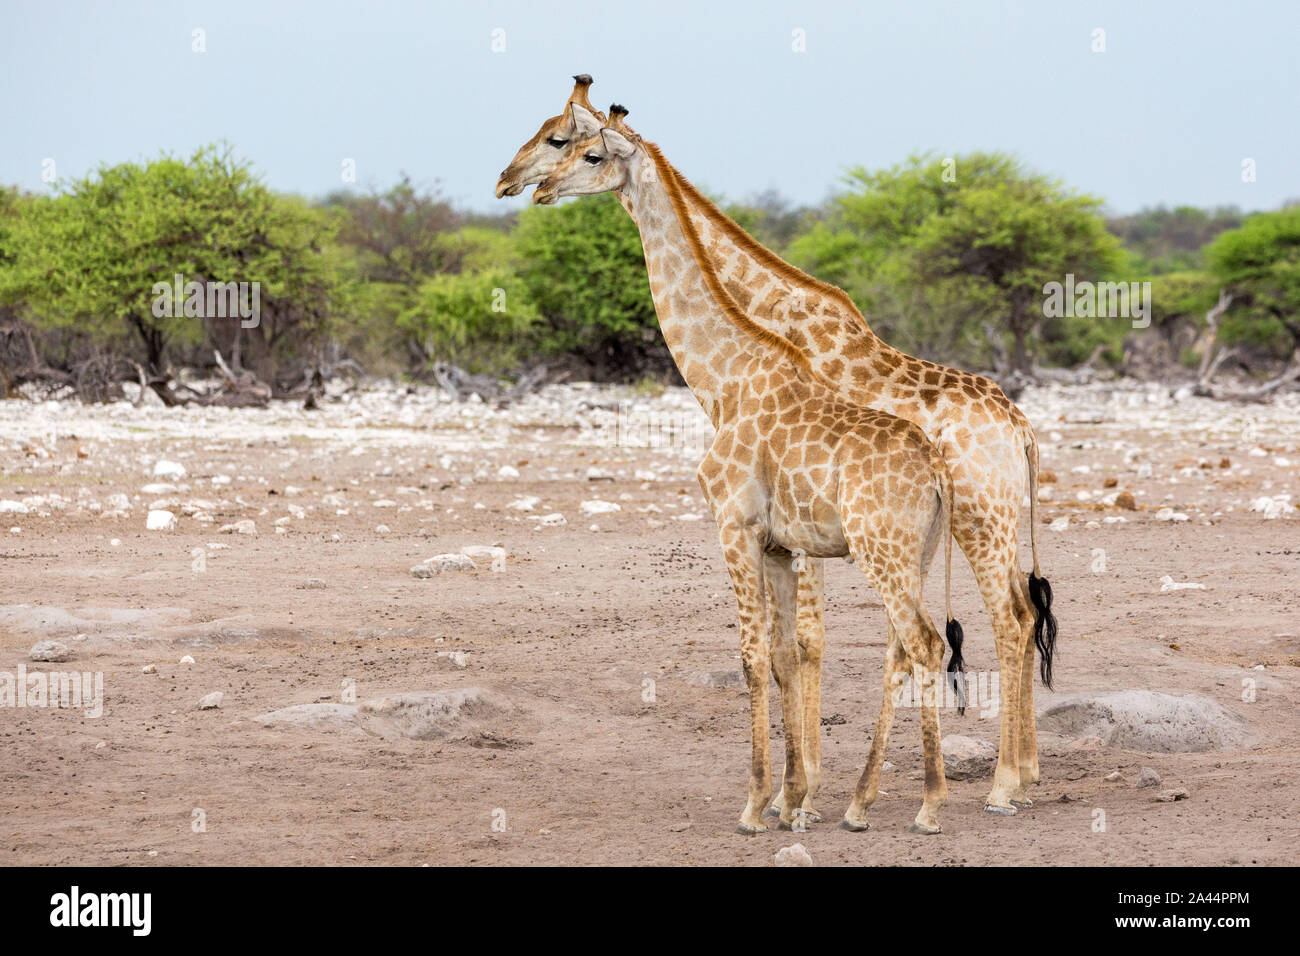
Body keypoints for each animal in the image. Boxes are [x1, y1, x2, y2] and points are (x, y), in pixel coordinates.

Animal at [491, 78, 837, 822]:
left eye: (579, 147)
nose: (518, 184)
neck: (730, 373)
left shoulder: (737, 524)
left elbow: (753, 655)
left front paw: (758, 803)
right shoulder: (779, 542)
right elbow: (784, 654)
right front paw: (793, 795)